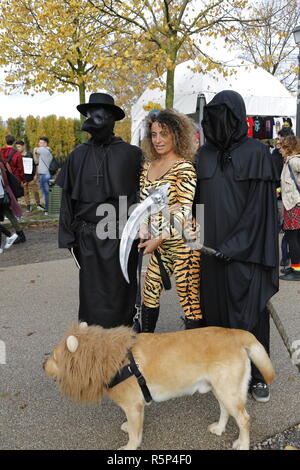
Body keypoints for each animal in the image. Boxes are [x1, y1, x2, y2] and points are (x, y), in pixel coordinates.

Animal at [43, 324, 276, 452]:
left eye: (54, 357)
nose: (42, 365)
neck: (109, 358)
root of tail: (236, 333)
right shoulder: (135, 407)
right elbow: (132, 426)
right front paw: (128, 427)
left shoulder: (133, 406)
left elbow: (134, 435)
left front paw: (130, 446)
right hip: (221, 389)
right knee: (226, 411)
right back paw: (219, 428)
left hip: (228, 391)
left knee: (244, 419)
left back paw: (243, 444)